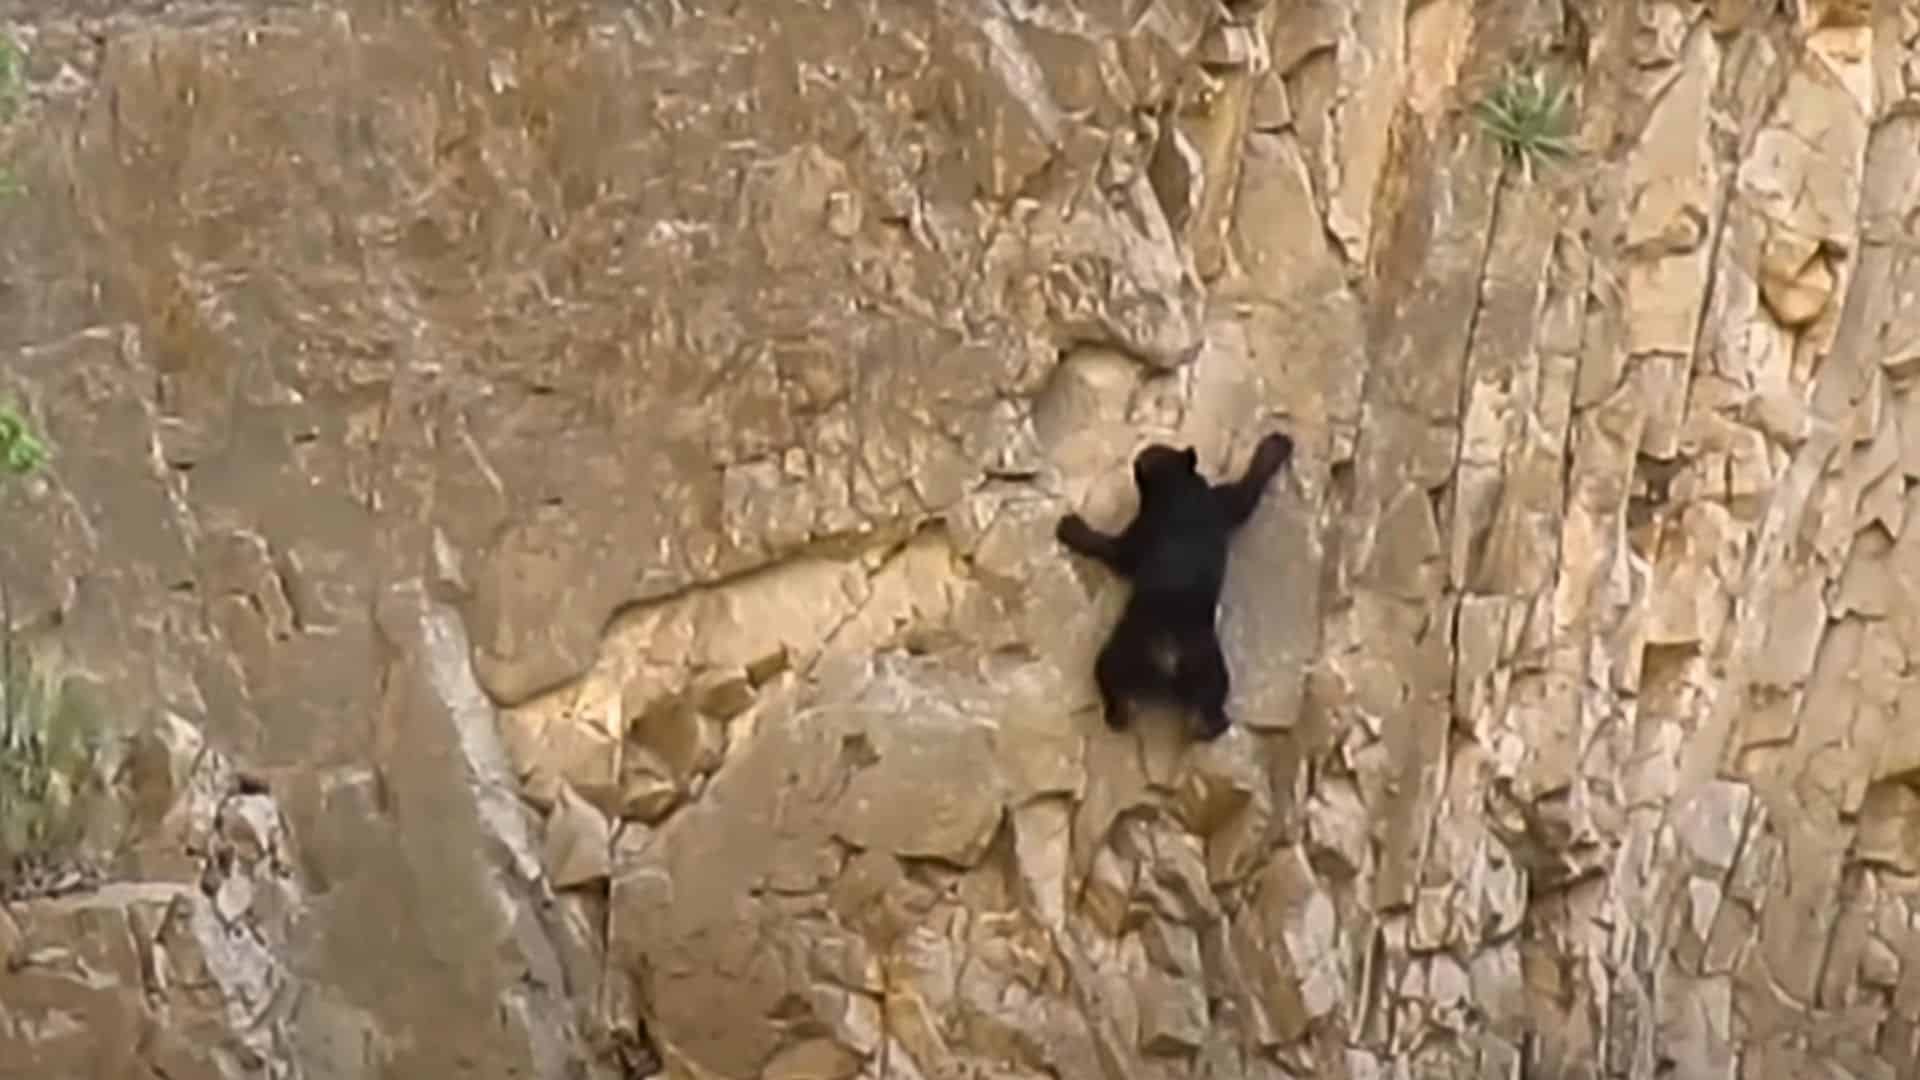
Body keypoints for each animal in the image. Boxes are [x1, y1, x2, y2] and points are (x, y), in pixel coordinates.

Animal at [1054, 431, 1294, 740]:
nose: (1144, 450)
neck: (1177, 488)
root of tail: (1168, 657)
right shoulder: (1222, 500)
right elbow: (1247, 490)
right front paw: (1277, 443)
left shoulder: (1140, 531)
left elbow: (1111, 549)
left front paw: (1069, 526)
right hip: (1211, 664)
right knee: (1213, 704)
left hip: (1121, 650)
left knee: (1107, 676)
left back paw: (1117, 716)